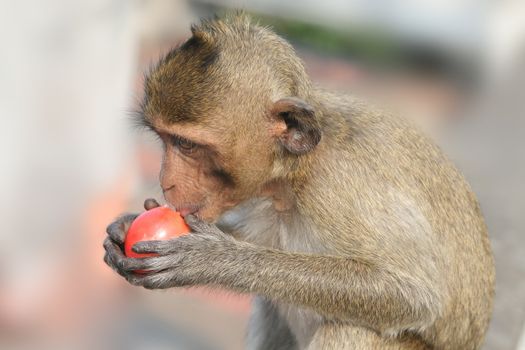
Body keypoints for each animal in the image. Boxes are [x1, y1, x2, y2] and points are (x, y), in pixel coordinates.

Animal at [103, 13, 496, 350]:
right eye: (163, 138)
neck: (294, 173)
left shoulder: (338, 187)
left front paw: (214, 259)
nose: (164, 180)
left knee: (352, 328)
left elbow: (414, 295)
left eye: (187, 145)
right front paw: (124, 227)